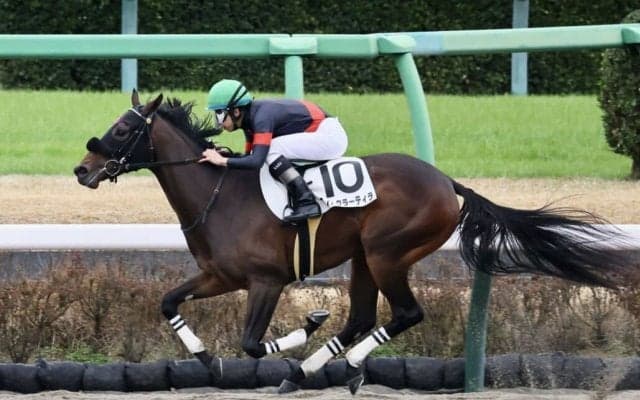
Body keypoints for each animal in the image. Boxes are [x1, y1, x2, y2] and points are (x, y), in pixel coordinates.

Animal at [74, 91, 634, 395]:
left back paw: (338, 363)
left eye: (122, 129)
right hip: (365, 257)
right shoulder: (219, 275)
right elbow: (168, 301)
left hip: (389, 253)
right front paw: (207, 358)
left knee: (405, 313)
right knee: (363, 316)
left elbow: (253, 342)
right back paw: (318, 370)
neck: (221, 194)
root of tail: (447, 183)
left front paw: (305, 325)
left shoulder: (266, 280)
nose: (82, 170)